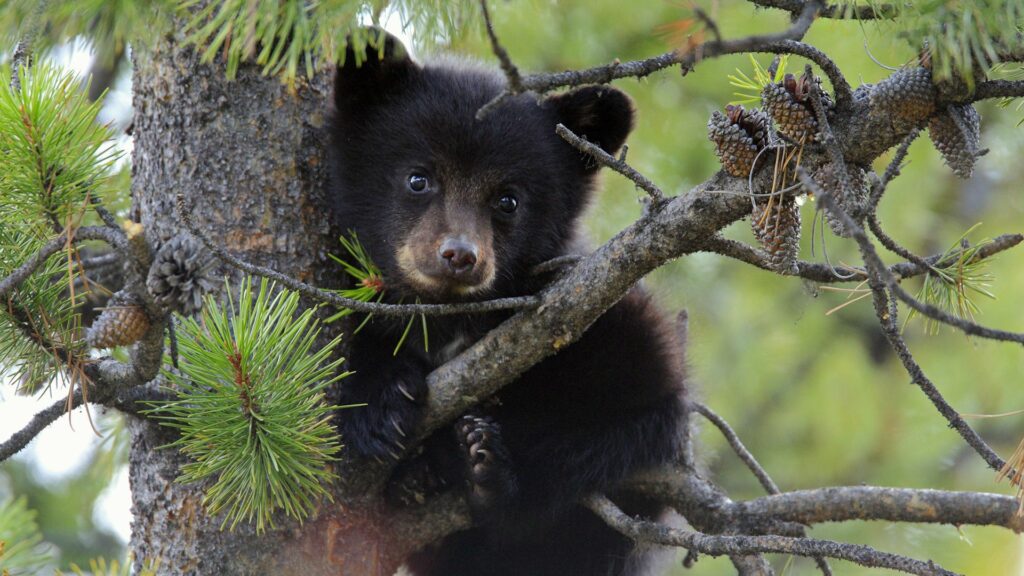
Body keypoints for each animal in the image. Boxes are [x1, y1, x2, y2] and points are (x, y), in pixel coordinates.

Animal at [328, 29, 688, 576]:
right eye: (418, 178)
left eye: (508, 199)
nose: (459, 255)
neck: (453, 320)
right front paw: (379, 403)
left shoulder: (611, 317)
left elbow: (639, 415)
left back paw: (484, 471)